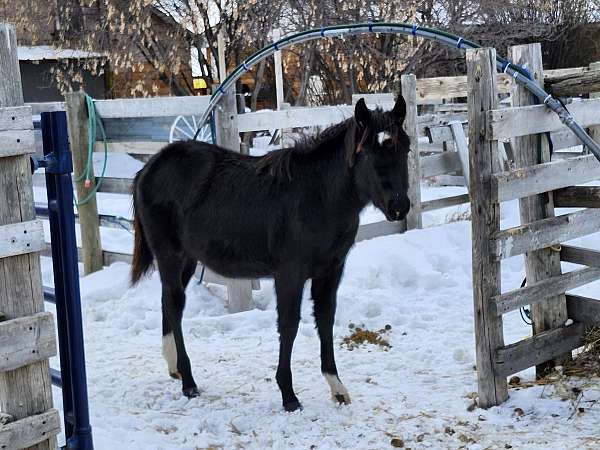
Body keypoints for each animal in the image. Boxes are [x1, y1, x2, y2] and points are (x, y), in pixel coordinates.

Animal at [131, 95, 412, 412]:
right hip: (170, 253)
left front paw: (336, 387)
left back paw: (174, 368)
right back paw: (188, 381)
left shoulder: (330, 271)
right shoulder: (289, 274)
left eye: (405, 148)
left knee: (168, 302)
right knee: (175, 304)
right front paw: (288, 395)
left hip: (189, 259)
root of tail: (150, 167)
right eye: (367, 153)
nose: (399, 207)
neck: (317, 196)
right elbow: (289, 325)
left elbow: (325, 320)